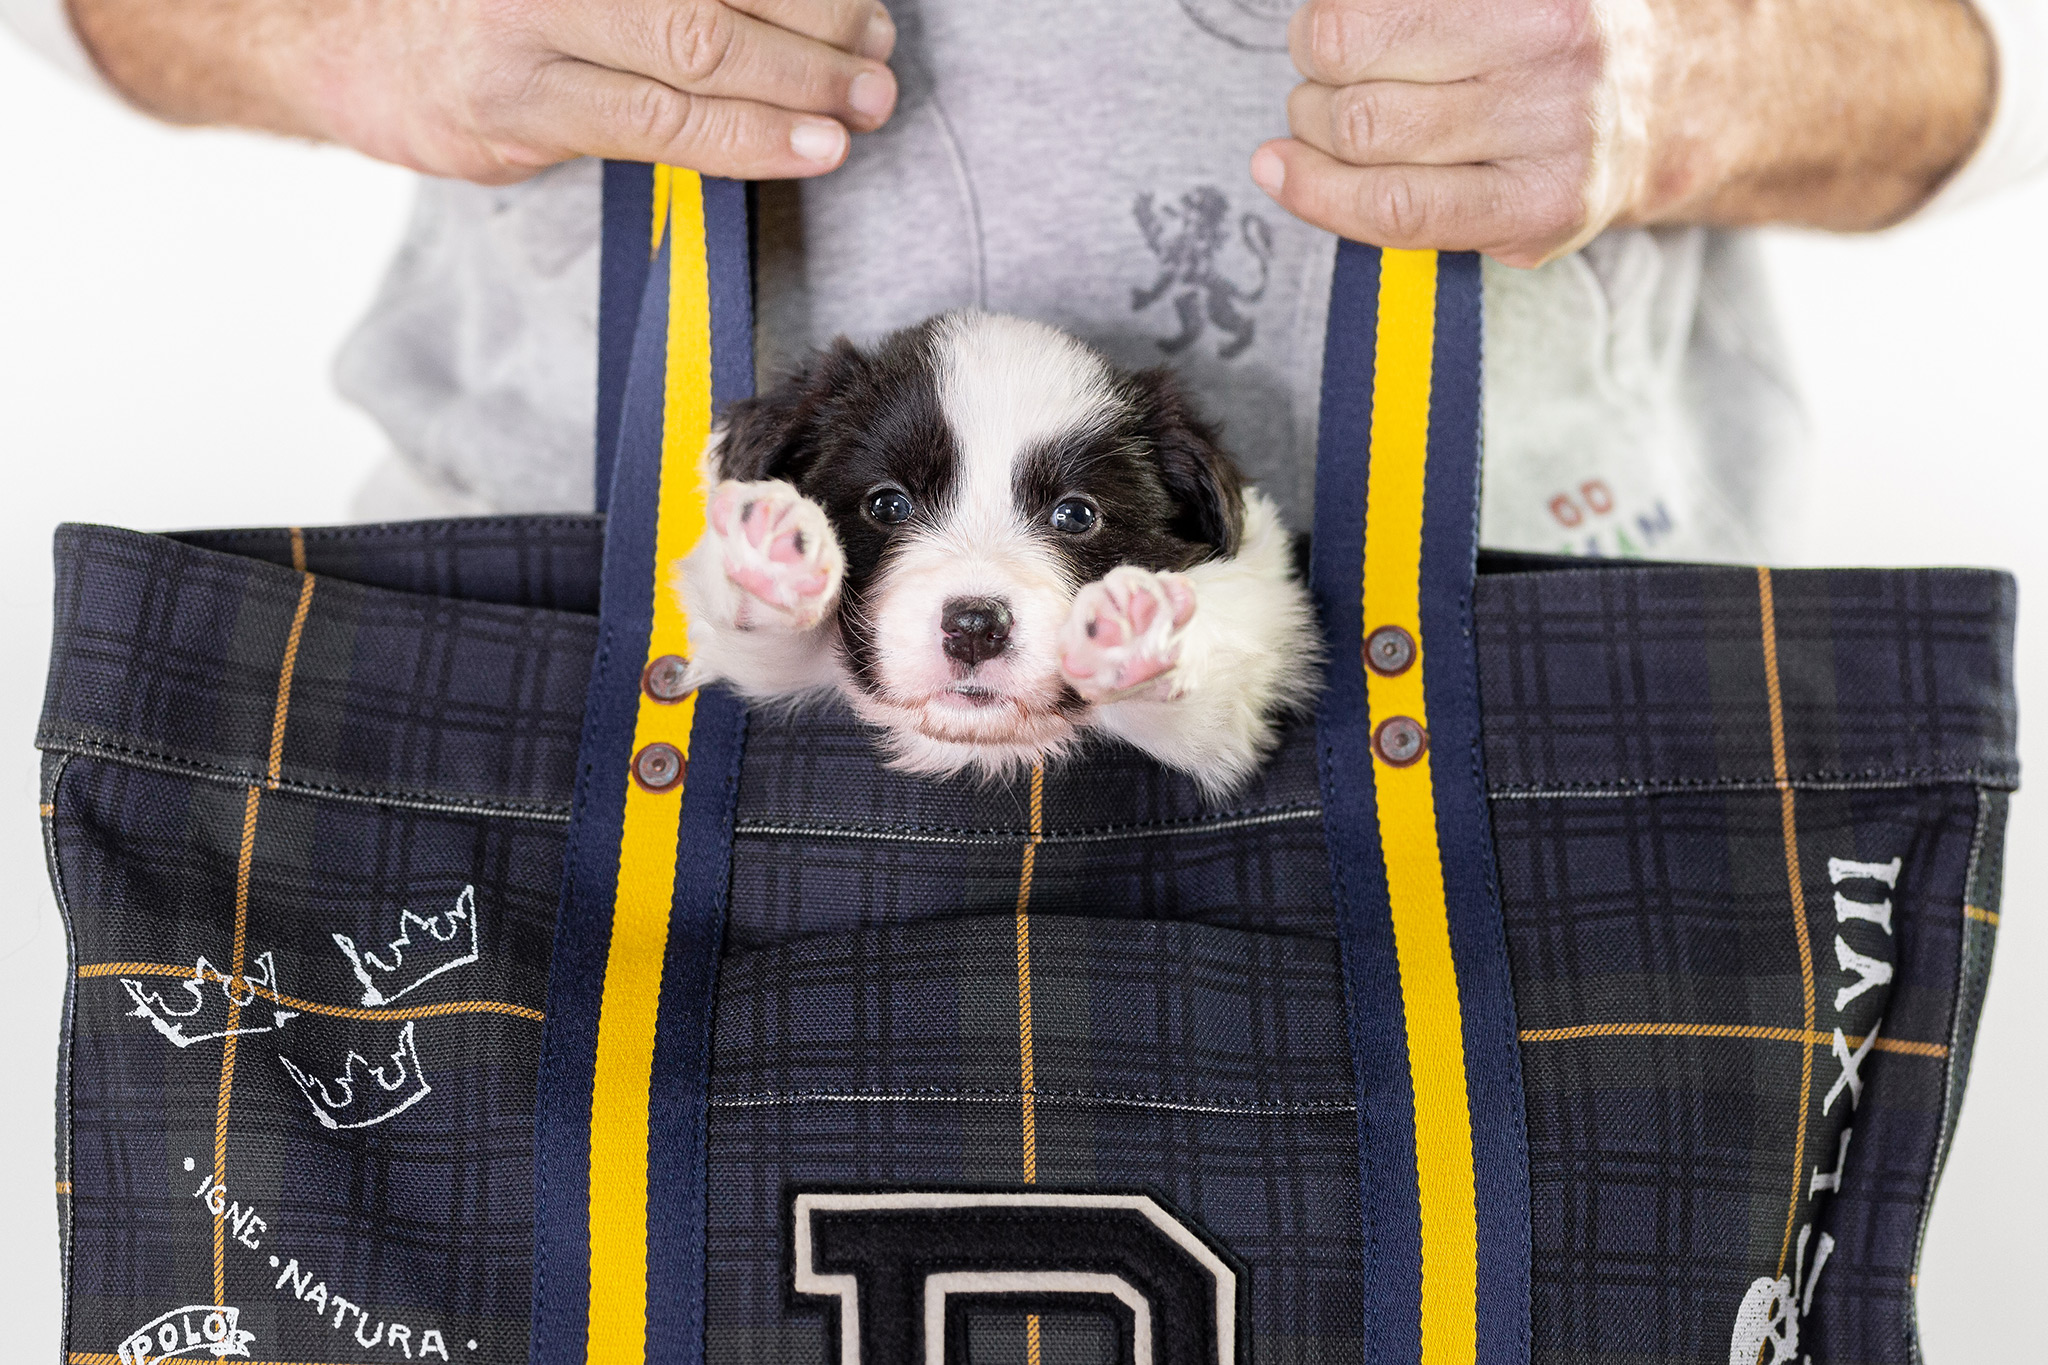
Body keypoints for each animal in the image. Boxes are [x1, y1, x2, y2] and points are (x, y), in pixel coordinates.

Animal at [679, 311, 1318, 794]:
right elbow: (766, 645)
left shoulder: (1236, 694)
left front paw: (1133, 631)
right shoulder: (762, 669)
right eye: (887, 505)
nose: (974, 627)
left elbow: (1200, 706)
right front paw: (772, 558)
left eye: (1075, 515)